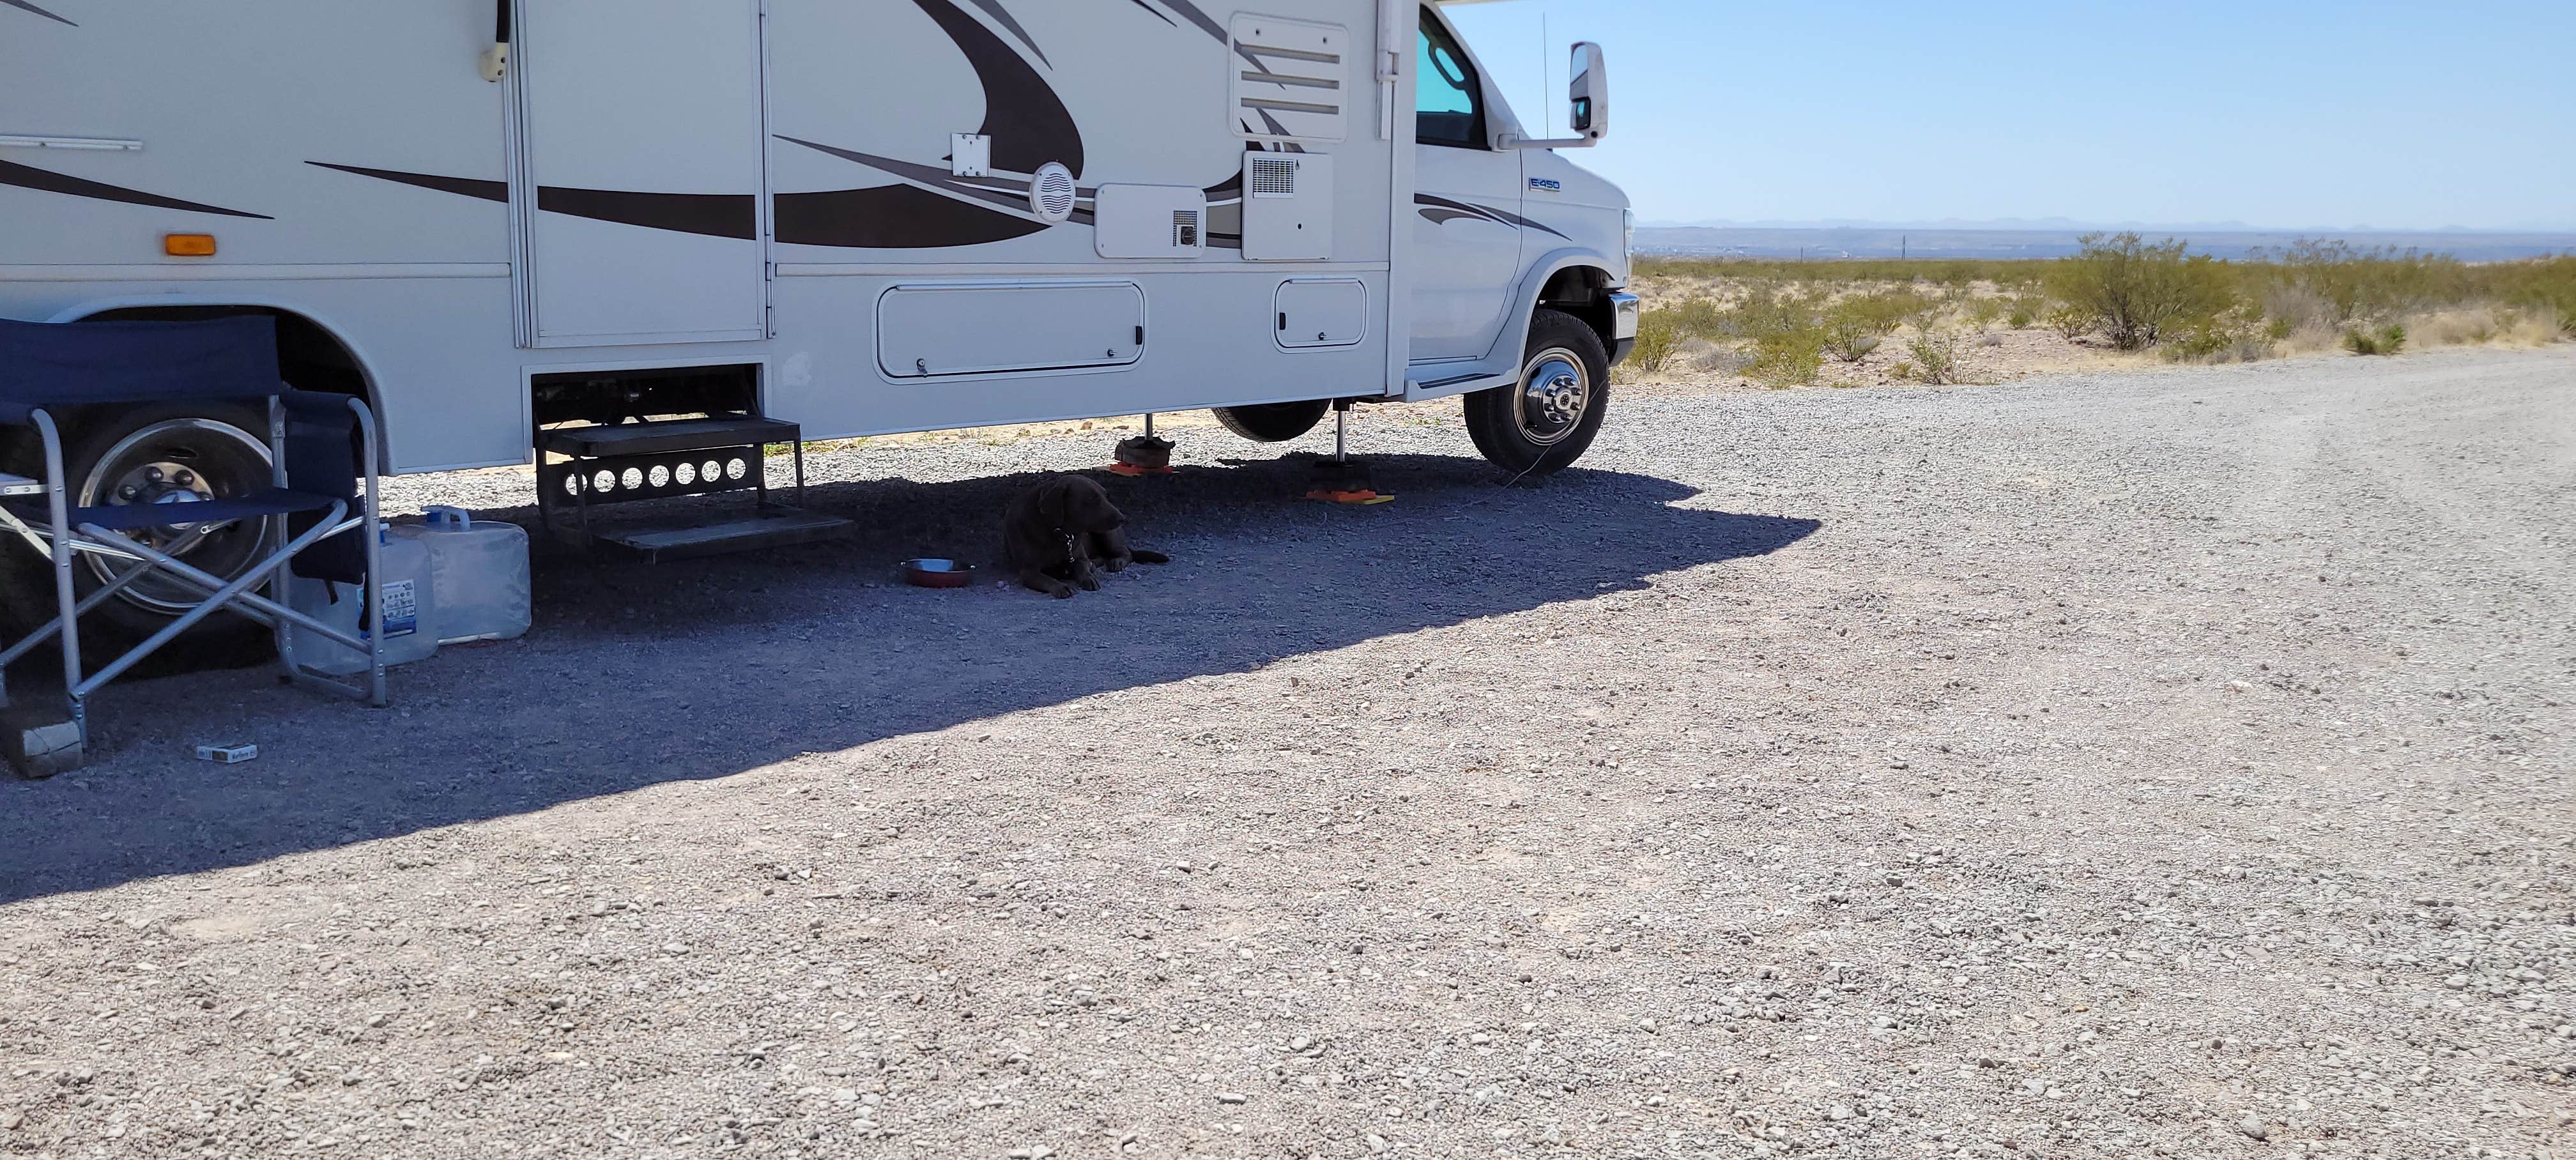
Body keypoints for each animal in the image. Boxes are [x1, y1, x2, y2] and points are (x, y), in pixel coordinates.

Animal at [999, 474, 1174, 598]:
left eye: (1106, 495)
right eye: (1092, 498)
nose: (1122, 518)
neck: (1057, 533)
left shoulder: (1079, 556)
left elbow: (1081, 566)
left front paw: (1088, 578)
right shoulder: (1029, 572)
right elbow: (1047, 579)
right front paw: (1061, 586)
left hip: (1107, 534)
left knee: (1126, 553)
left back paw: (1116, 561)